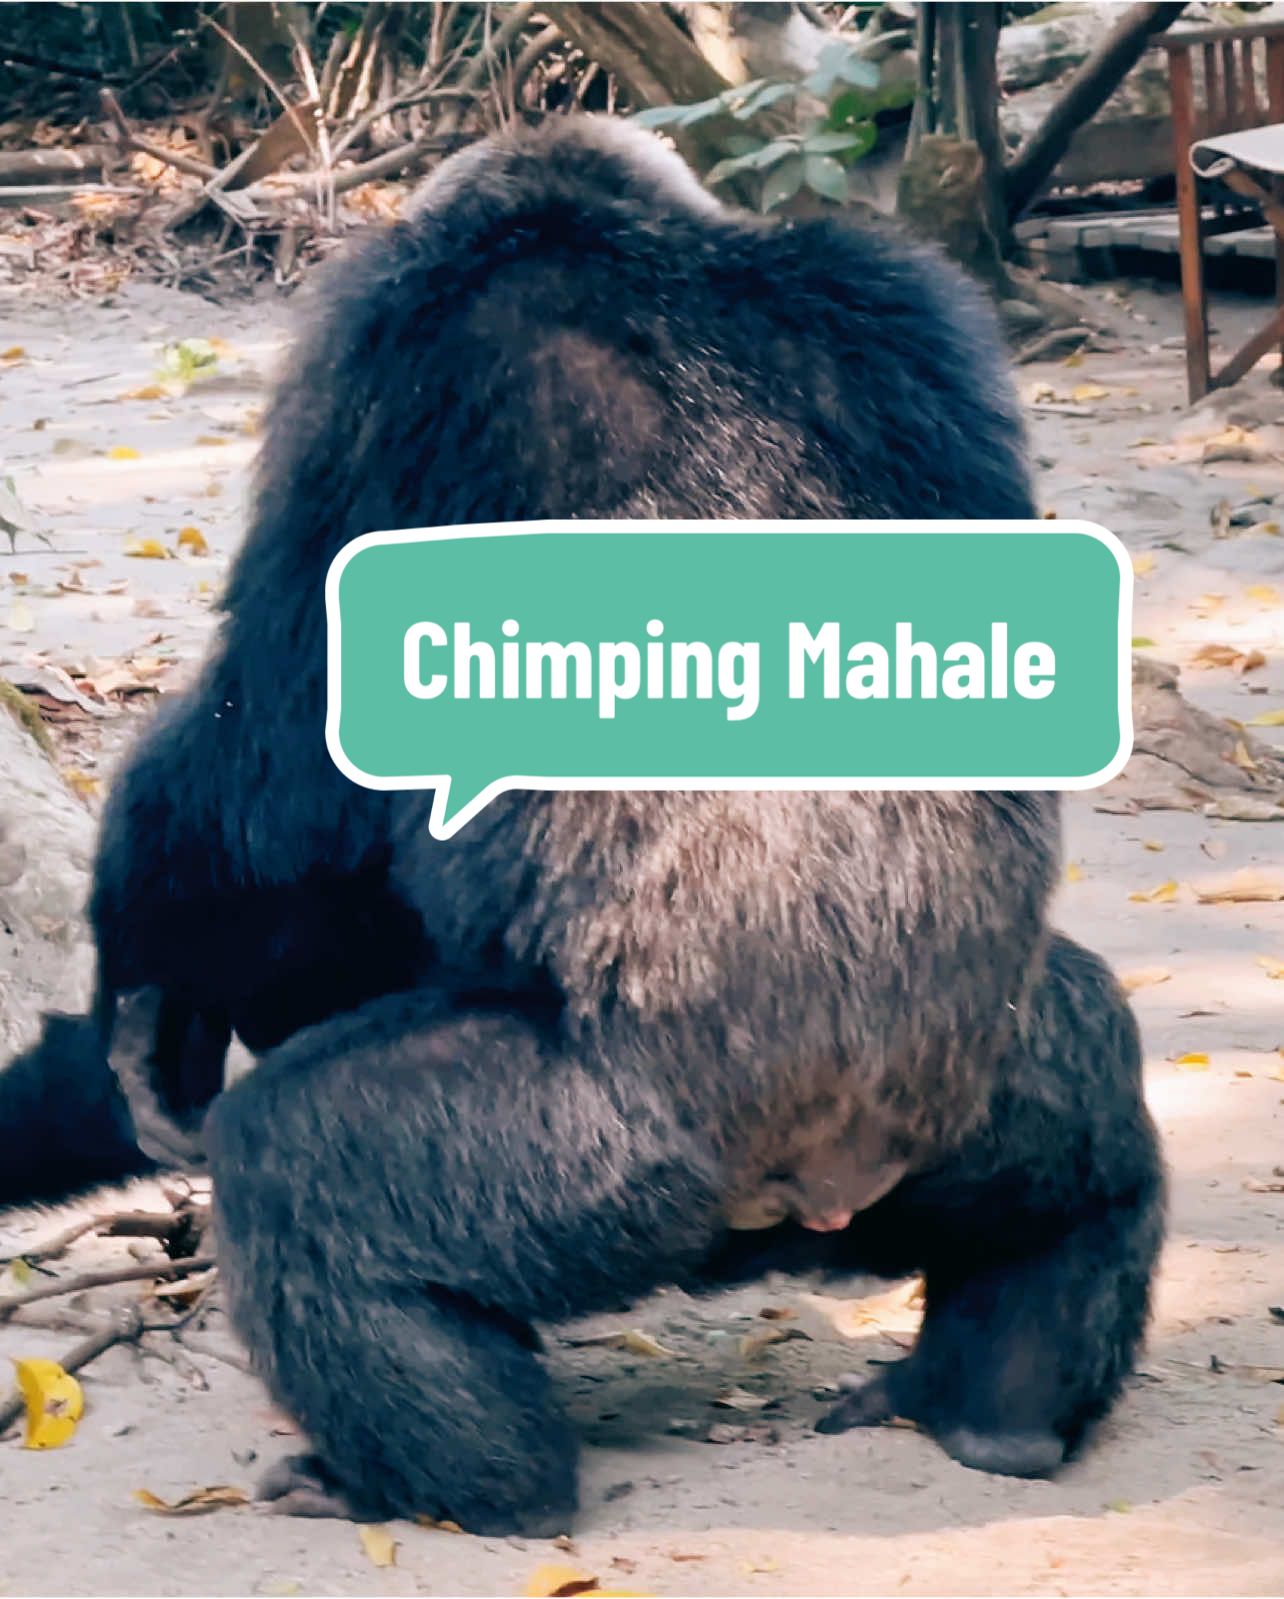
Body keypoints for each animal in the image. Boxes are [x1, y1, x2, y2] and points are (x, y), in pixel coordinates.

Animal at [0, 117, 1163, 1534]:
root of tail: (820, 1178)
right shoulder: (915, 314)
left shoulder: (371, 368)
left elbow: (266, 766)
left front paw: (152, 1014)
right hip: (986, 1095)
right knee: (1097, 1131)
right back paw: (998, 1412)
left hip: (594, 1151)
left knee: (297, 1169)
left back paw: (447, 1488)